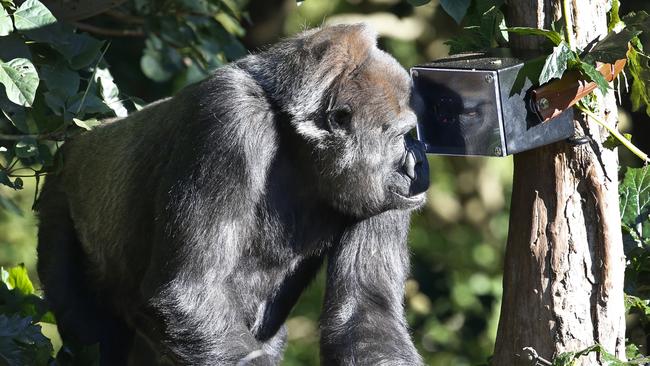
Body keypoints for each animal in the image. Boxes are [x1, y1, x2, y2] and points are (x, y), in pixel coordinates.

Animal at [38, 23, 428, 366]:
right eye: (403, 136)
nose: (419, 163)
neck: (296, 136)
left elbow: (365, 317)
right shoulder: (230, 118)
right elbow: (189, 294)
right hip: (59, 191)